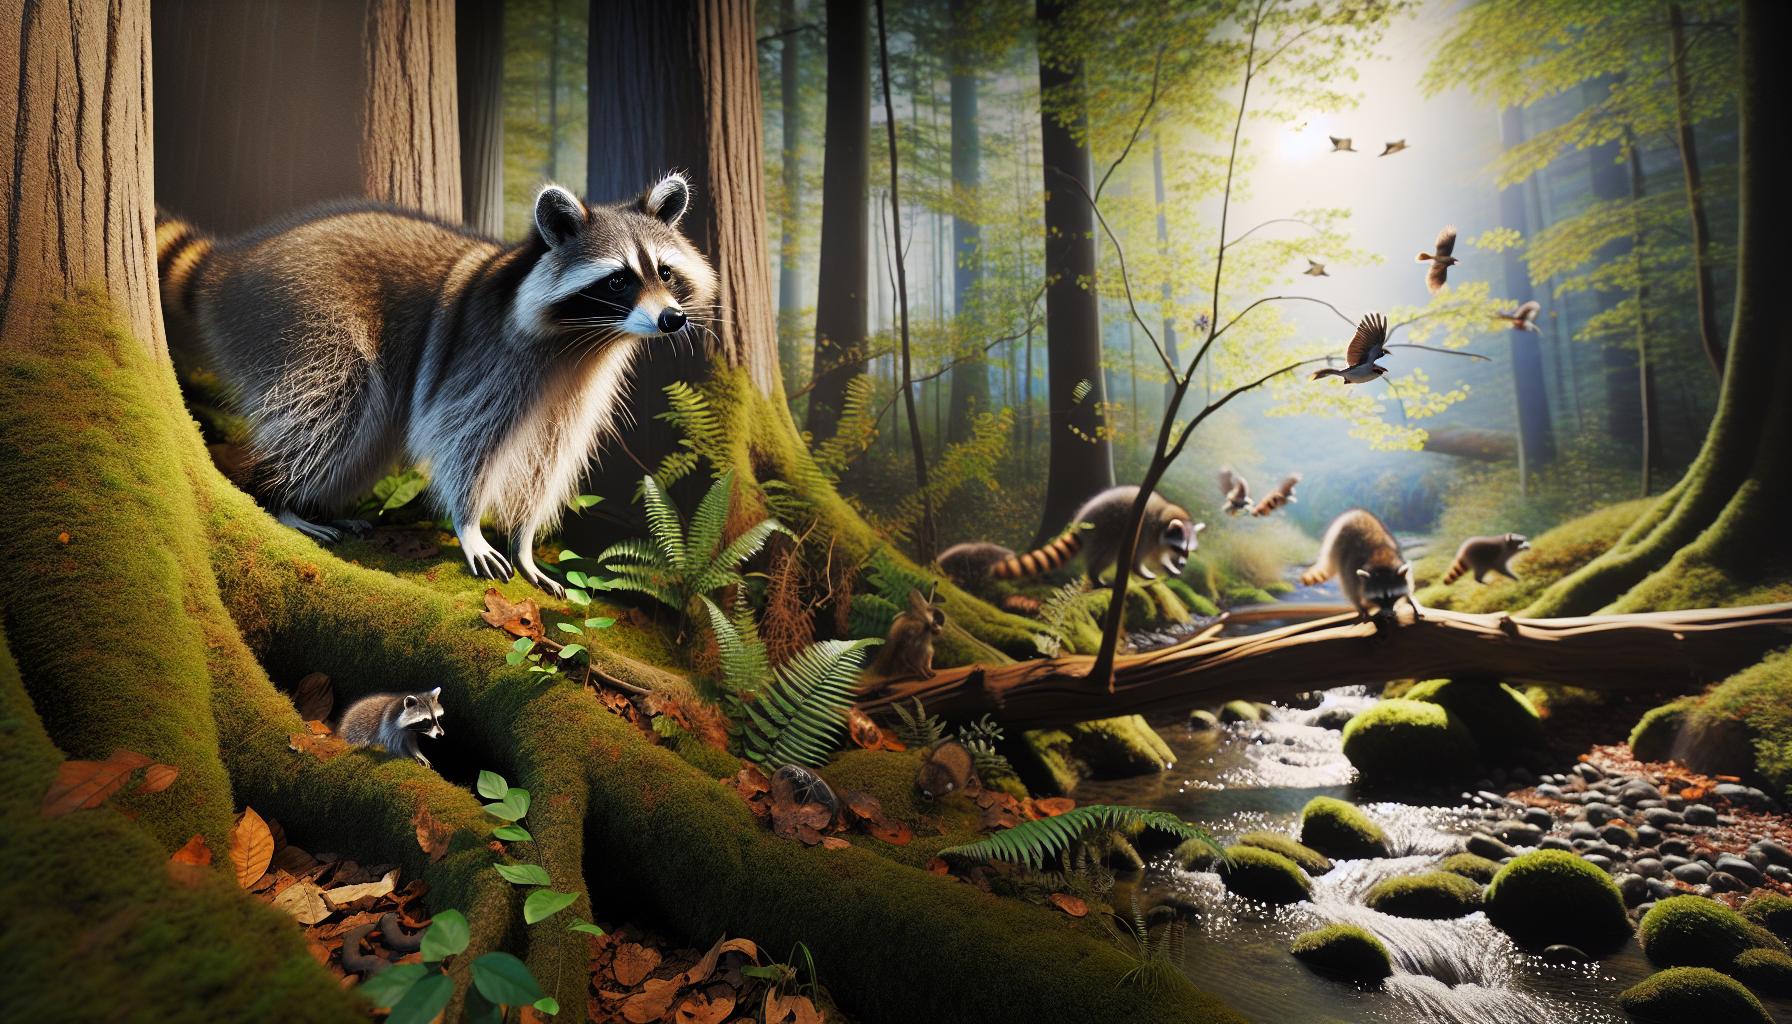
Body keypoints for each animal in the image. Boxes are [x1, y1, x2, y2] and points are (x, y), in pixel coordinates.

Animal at [155, 172, 718, 596]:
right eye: (619, 280)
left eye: (665, 272)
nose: (672, 320)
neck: (582, 341)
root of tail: (235, 261)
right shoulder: (485, 358)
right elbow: (461, 438)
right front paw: (469, 526)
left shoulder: (581, 388)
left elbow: (549, 460)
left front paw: (525, 542)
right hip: (302, 320)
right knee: (329, 411)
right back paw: (280, 498)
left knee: (360, 433)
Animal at [981, 486, 1204, 586]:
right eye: (1179, 547)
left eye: (1187, 551)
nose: (1183, 564)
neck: (1165, 516)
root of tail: (1082, 518)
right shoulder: (1144, 531)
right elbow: (1137, 559)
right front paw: (1142, 571)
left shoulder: (1157, 541)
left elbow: (1159, 556)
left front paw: (1170, 567)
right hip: (1107, 530)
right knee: (1106, 555)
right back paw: (1095, 575)